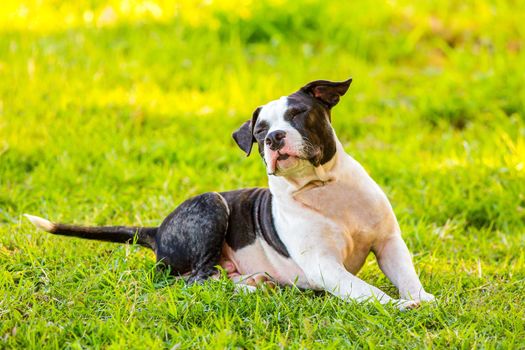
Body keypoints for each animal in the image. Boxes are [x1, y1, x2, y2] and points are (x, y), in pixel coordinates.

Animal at [24, 78, 434, 308]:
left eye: (299, 113)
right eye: (259, 131)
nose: (273, 137)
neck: (323, 188)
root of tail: (158, 229)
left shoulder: (389, 243)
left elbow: (408, 276)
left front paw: (421, 299)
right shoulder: (324, 265)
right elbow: (363, 290)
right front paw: (396, 307)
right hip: (211, 204)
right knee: (196, 278)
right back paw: (250, 289)